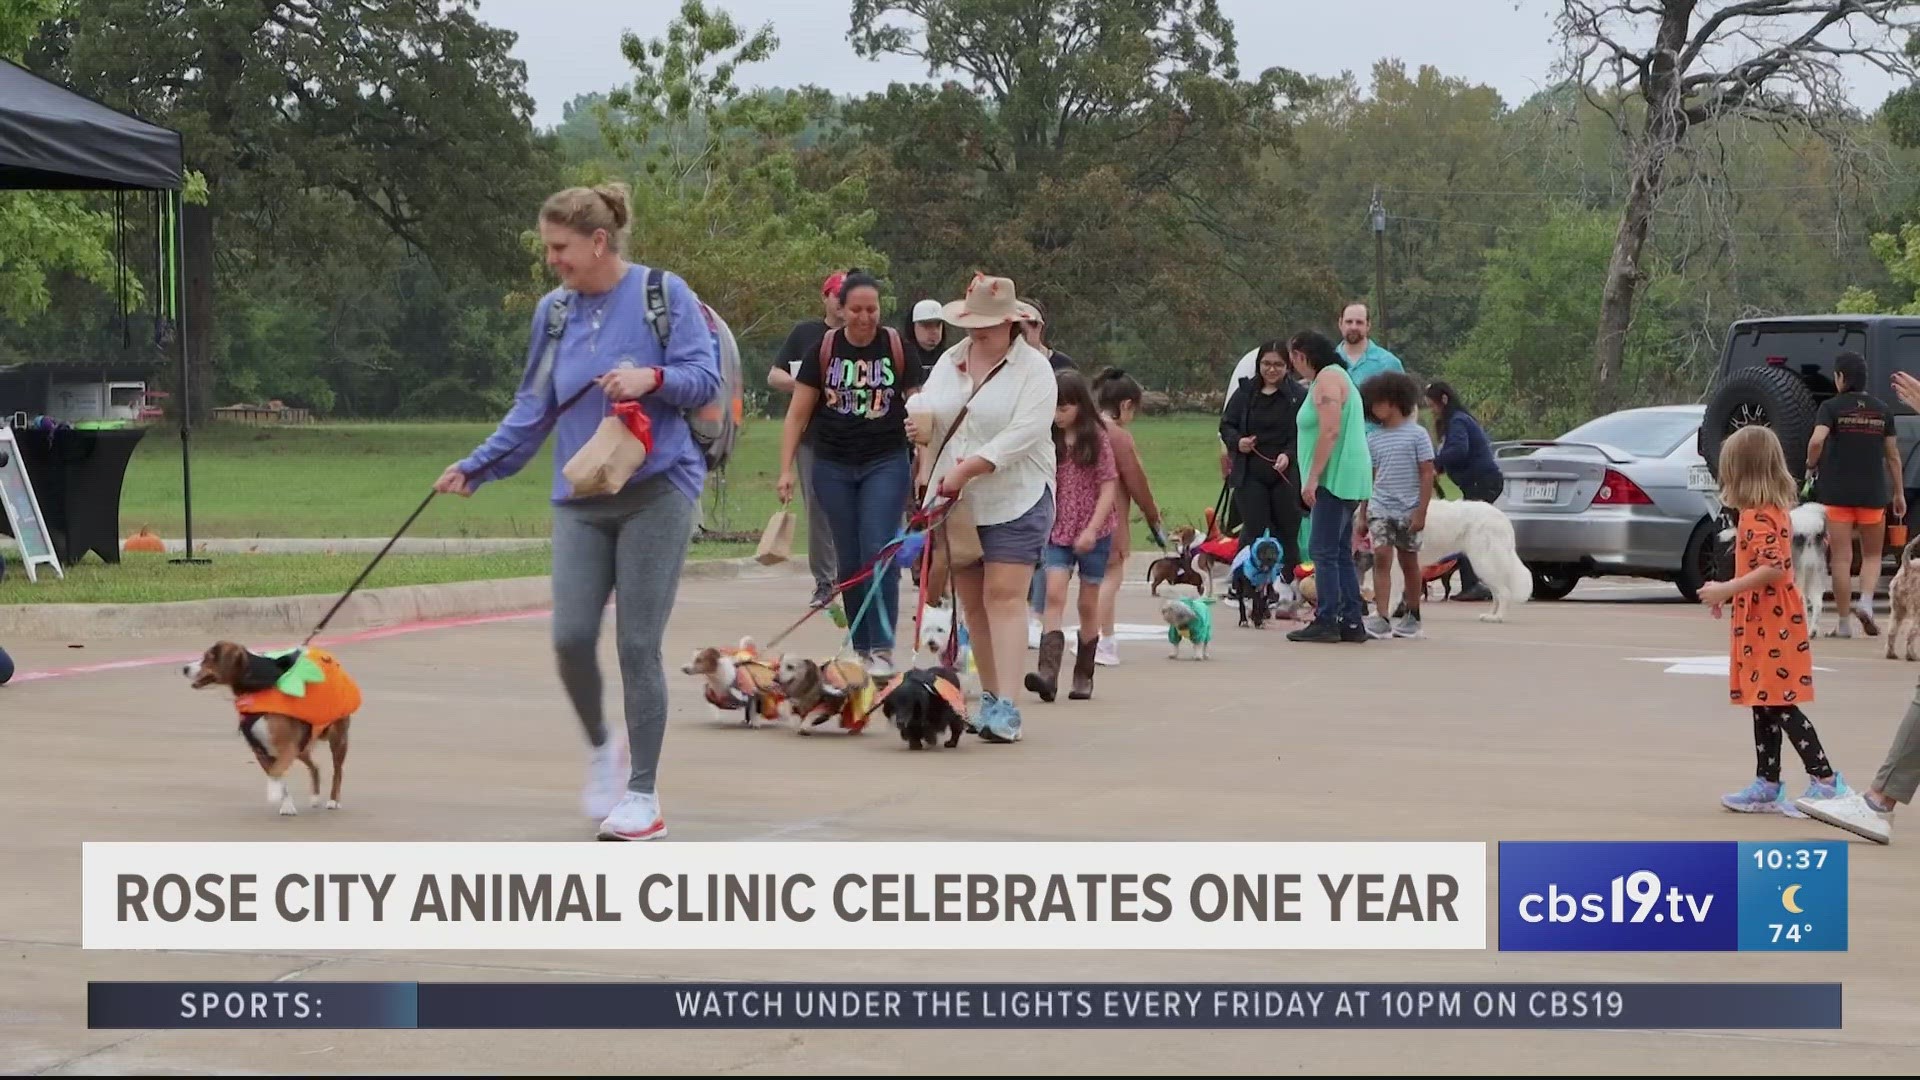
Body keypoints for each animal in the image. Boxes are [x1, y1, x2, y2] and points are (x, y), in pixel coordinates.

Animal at [182, 638, 360, 807]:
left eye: (209, 657)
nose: (184, 668)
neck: (256, 686)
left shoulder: (286, 748)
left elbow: (276, 773)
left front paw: (274, 794)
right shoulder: (261, 750)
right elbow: (278, 778)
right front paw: (287, 805)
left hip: (337, 739)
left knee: (338, 771)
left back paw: (333, 801)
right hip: (301, 747)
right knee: (315, 767)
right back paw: (315, 798)